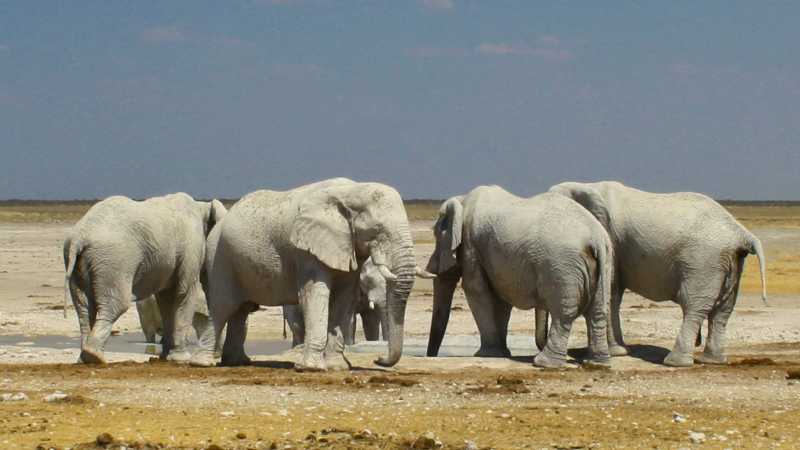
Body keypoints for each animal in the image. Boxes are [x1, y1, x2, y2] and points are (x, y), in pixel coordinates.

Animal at [63, 193, 227, 364]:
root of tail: (78, 238)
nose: (217, 356)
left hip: (80, 263)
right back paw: (94, 357)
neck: (203, 207)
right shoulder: (190, 249)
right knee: (116, 304)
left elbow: (167, 300)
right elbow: (184, 293)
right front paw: (181, 359)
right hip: (113, 260)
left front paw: (165, 358)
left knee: (84, 307)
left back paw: (84, 359)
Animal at [191, 178, 420, 370]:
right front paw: (311, 368)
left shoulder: (347, 247)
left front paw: (337, 367)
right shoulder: (306, 251)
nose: (378, 359)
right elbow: (315, 294)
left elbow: (344, 298)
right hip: (219, 258)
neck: (352, 191)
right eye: (378, 230)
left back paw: (238, 362)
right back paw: (203, 363)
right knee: (223, 307)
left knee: (241, 310)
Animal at [424, 185, 614, 368]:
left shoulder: (471, 245)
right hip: (603, 262)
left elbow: (476, 290)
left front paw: (487, 354)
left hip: (563, 266)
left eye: (436, 236)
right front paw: (502, 353)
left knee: (564, 313)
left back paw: (545, 363)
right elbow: (501, 300)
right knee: (598, 310)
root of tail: (596, 238)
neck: (462, 200)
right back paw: (597, 363)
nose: (431, 356)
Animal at [549, 181, 767, 367]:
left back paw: (674, 362)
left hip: (704, 260)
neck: (586, 186)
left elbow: (611, 289)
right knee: (723, 310)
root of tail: (741, 233)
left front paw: (616, 352)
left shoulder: (611, 240)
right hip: (730, 262)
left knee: (694, 306)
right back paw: (713, 361)